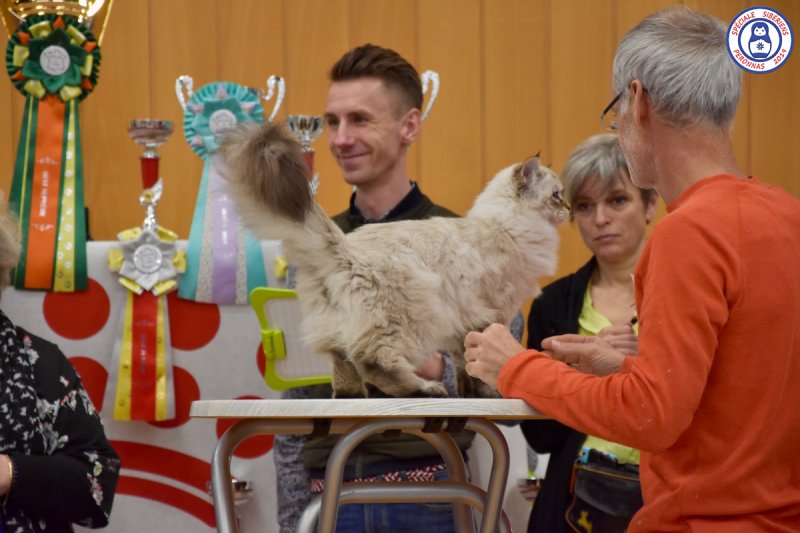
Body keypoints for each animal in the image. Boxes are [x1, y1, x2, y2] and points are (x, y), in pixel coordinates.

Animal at [220, 122, 569, 398]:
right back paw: (425, 390)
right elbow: (478, 367)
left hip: (343, 331)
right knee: (375, 365)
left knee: (343, 366)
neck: (504, 224)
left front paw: (471, 396)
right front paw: (490, 393)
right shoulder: (491, 315)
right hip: (403, 320)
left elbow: (463, 368)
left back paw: (351, 398)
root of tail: (345, 248)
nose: (569, 209)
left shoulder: (462, 328)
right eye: (556, 196)